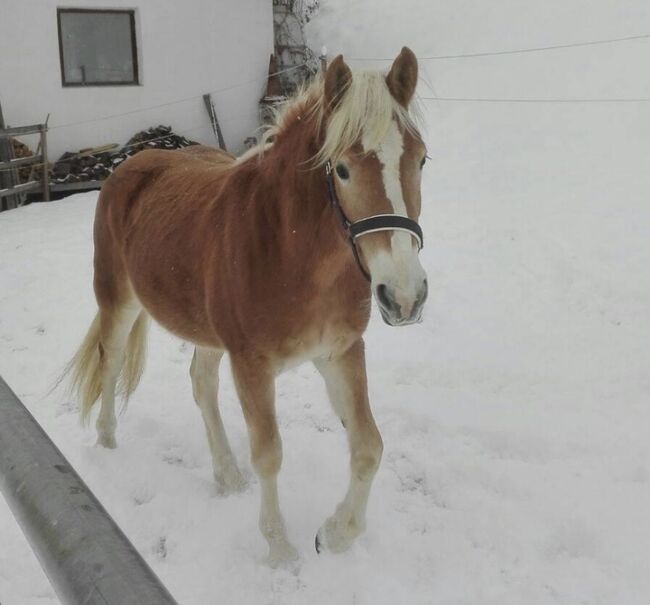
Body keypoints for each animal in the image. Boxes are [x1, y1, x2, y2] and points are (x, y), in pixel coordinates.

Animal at [68, 48, 428, 568]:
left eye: (421, 159)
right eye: (341, 169)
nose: (405, 296)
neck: (290, 251)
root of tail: (133, 162)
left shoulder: (339, 352)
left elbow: (368, 446)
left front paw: (335, 534)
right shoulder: (251, 365)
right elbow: (270, 453)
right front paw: (279, 549)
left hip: (206, 331)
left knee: (201, 383)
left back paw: (226, 474)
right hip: (118, 299)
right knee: (110, 363)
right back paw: (108, 442)